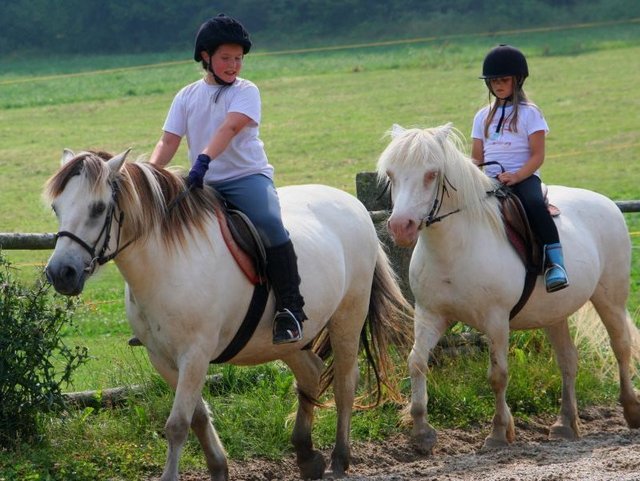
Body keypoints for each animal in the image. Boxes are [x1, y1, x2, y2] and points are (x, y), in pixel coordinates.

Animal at [45, 148, 410, 478]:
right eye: (56, 207)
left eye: (98, 208)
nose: (61, 273)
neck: (166, 263)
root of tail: (354, 205)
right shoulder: (162, 357)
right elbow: (196, 417)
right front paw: (219, 468)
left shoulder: (195, 355)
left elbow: (178, 424)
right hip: (286, 341)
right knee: (311, 373)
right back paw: (307, 457)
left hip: (348, 317)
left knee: (345, 384)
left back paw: (339, 460)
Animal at [376, 124, 640, 454]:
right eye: (392, 174)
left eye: (431, 174)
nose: (401, 227)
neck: (456, 247)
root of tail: (607, 203)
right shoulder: (430, 316)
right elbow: (416, 363)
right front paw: (422, 432)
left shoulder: (496, 320)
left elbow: (498, 375)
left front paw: (499, 432)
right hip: (554, 315)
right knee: (568, 359)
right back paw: (565, 424)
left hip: (610, 298)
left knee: (621, 346)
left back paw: (630, 409)